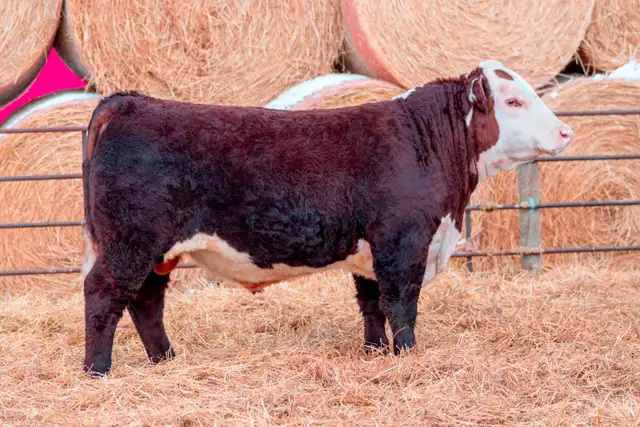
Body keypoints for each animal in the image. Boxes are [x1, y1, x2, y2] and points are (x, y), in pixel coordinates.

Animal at [80, 60, 573, 377]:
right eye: (513, 101)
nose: (565, 132)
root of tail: (127, 102)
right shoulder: (403, 242)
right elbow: (401, 304)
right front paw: (407, 356)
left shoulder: (372, 251)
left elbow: (371, 303)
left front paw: (375, 353)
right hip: (130, 241)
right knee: (104, 294)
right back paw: (97, 370)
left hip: (154, 250)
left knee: (146, 300)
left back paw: (166, 360)